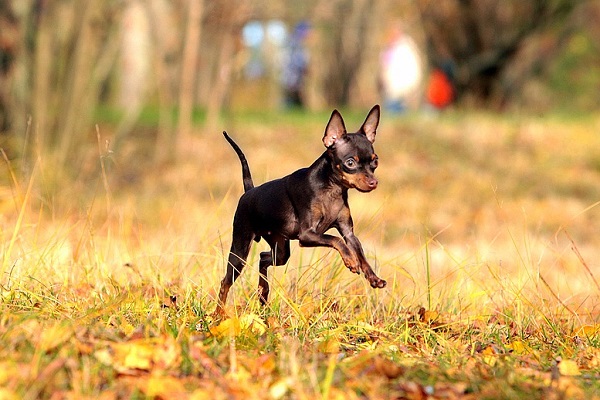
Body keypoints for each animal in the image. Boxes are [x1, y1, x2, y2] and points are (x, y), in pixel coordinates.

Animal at [218, 106, 386, 316]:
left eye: (375, 162)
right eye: (350, 163)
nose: (374, 182)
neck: (332, 188)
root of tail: (249, 190)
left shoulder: (349, 233)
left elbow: (359, 252)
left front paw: (372, 277)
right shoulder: (307, 235)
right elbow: (336, 240)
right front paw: (350, 260)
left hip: (280, 250)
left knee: (263, 258)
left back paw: (263, 292)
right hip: (240, 250)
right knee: (225, 282)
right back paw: (218, 314)